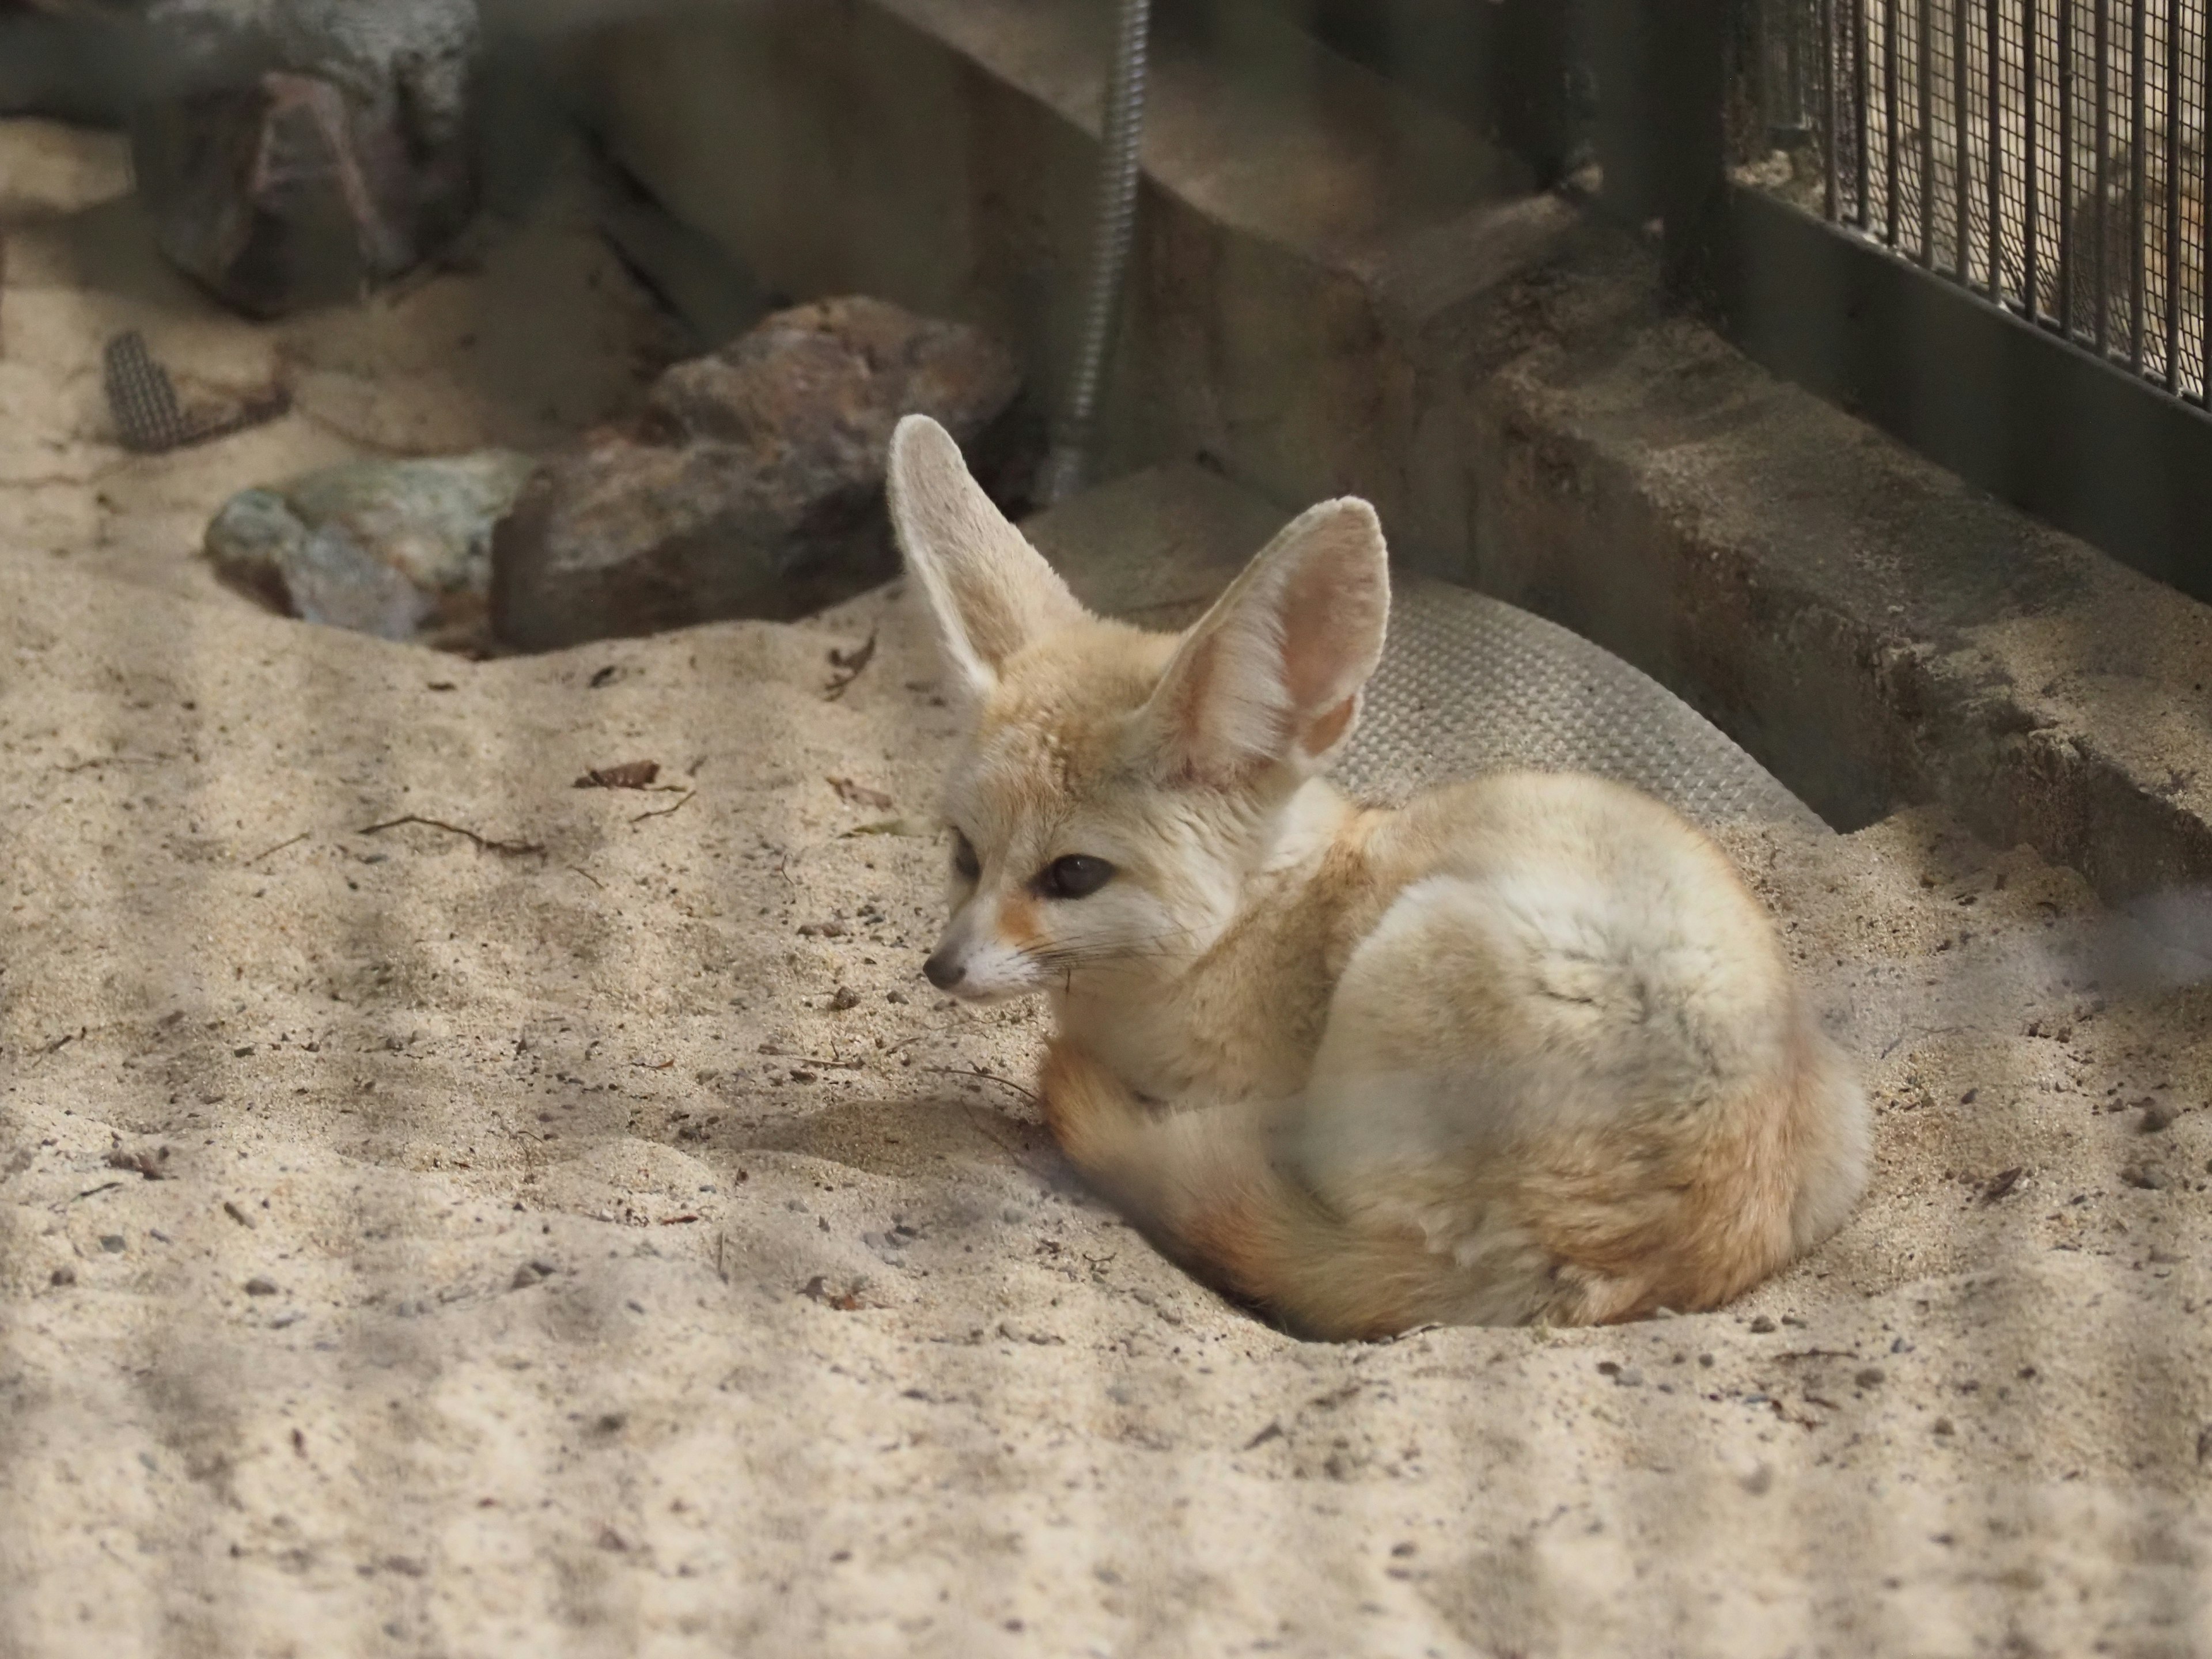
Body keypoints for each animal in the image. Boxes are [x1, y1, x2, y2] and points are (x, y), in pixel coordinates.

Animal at [880, 422, 1866, 1344]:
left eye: (1074, 875)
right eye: (966, 854)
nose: (942, 969)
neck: (1257, 923)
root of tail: (1608, 1272)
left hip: (1406, 965)